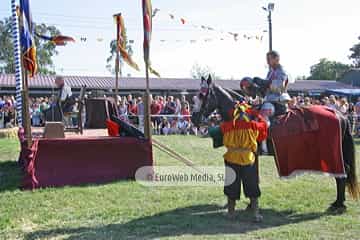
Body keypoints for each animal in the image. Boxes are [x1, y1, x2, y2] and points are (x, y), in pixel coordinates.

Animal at [191, 75, 358, 214]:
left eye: (202, 95)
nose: (194, 119)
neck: (241, 116)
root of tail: (339, 114)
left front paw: (251, 205)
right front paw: (251, 204)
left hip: (332, 154)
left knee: (342, 173)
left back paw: (339, 204)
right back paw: (338, 203)